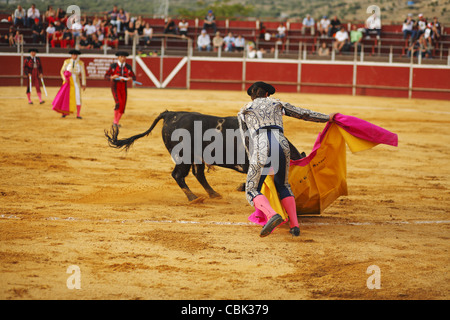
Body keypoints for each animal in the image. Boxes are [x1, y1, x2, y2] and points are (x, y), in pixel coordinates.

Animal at [104, 111, 304, 201]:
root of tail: (171, 114)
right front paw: (242, 187)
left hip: (196, 157)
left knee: (197, 174)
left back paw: (213, 194)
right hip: (183, 156)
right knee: (178, 175)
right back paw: (194, 198)